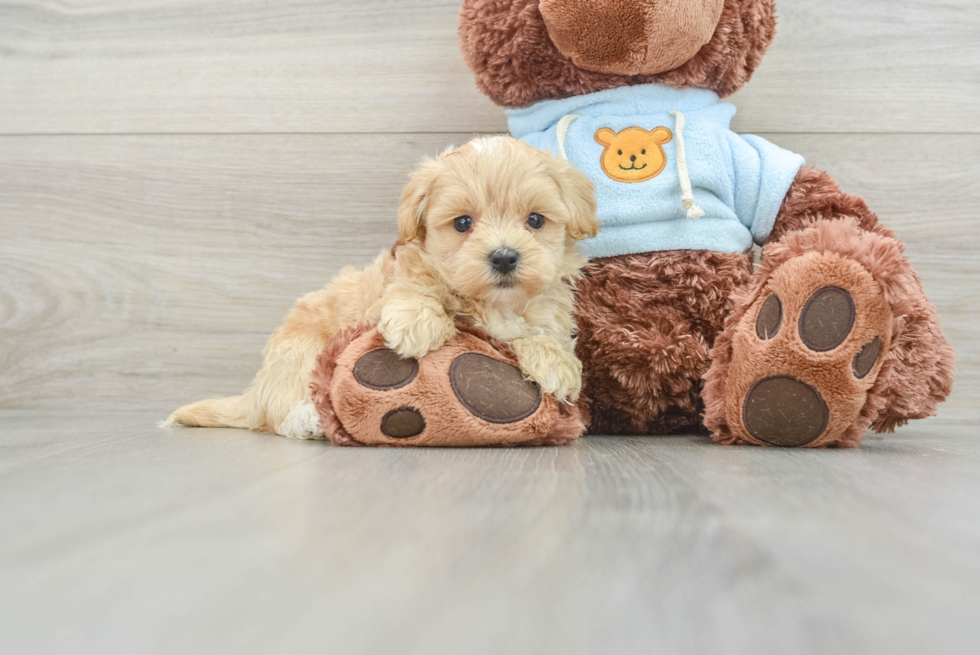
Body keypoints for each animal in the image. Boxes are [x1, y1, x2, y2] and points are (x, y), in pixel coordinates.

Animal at [167, 135, 596, 438]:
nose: (504, 257)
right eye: (462, 223)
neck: (496, 303)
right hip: (299, 354)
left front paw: (556, 363)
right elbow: (412, 286)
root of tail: (255, 393)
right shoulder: (393, 281)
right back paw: (310, 421)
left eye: (535, 220)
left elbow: (541, 333)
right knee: (282, 413)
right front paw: (418, 322)